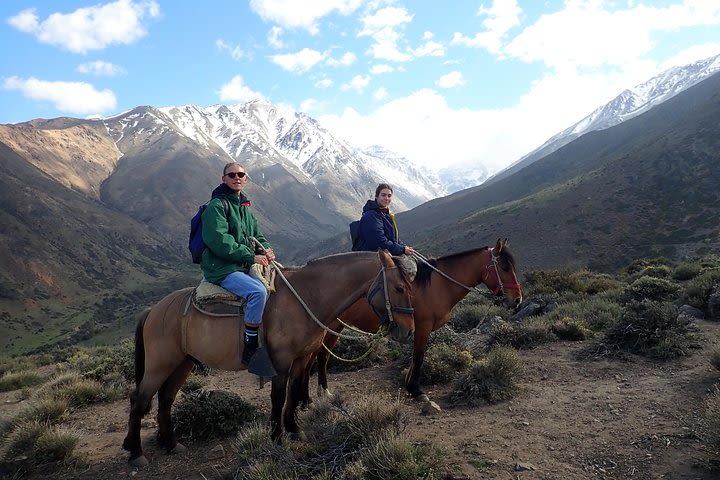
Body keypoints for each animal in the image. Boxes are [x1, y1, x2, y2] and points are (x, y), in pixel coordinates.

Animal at [121, 249, 414, 466]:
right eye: (399, 287)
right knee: (139, 399)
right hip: (160, 364)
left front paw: (294, 429)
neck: (304, 299)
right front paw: (277, 436)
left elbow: (294, 394)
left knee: (165, 399)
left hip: (182, 363)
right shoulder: (281, 363)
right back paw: (136, 453)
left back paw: (171, 443)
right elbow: (278, 397)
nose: (409, 330)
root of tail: (153, 310)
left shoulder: (301, 361)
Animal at [306, 238, 524, 404]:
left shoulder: (416, 329)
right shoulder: (423, 327)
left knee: (319, 358)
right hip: (328, 328)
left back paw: (319, 394)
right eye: (504, 267)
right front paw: (416, 390)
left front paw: (409, 385)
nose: (517, 300)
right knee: (317, 359)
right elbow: (418, 357)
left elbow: (414, 358)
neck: (439, 285)